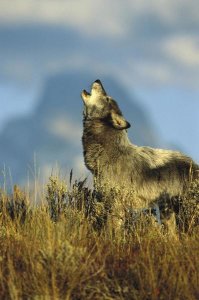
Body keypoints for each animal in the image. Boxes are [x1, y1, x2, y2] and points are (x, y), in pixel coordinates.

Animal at [81, 79, 199, 230]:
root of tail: (194, 165)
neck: (110, 153)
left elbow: (111, 230)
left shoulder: (117, 205)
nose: (98, 80)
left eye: (107, 98)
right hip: (168, 213)